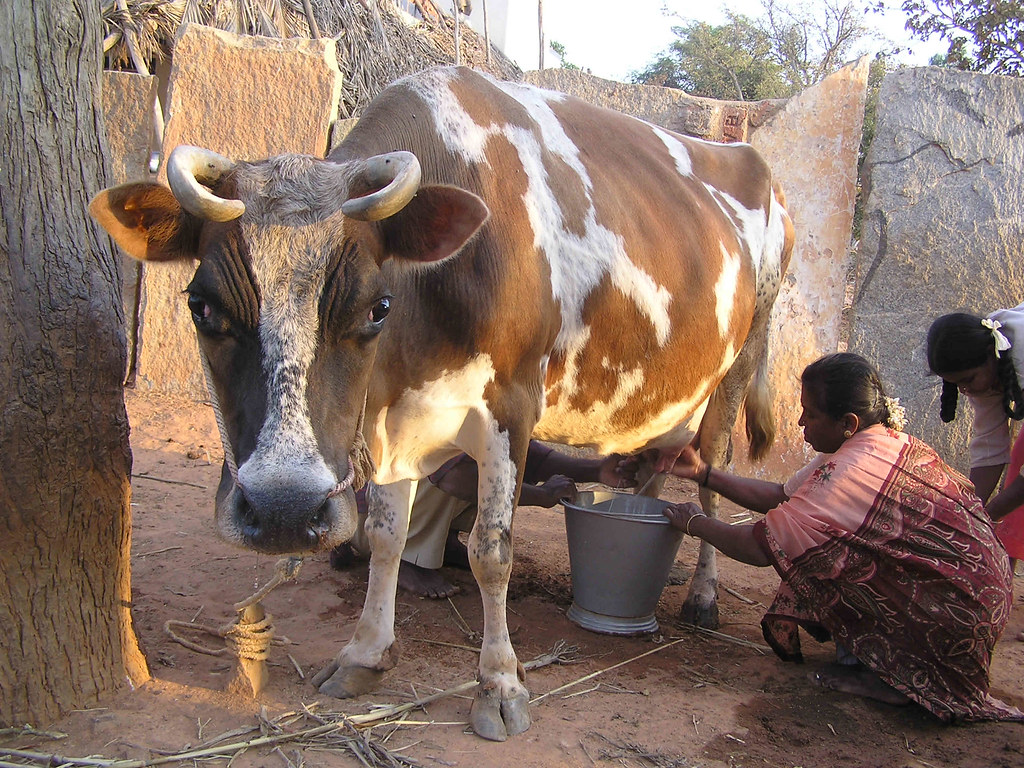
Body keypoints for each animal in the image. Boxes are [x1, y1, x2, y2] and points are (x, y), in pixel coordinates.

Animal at [90, 66, 794, 741]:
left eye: (375, 308)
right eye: (201, 306)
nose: (283, 509)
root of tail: (755, 161)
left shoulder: (512, 406)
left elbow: (491, 551)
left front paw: (501, 685)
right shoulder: (389, 419)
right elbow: (384, 534)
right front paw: (365, 655)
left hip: (744, 355)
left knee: (709, 475)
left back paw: (702, 594)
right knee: (651, 471)